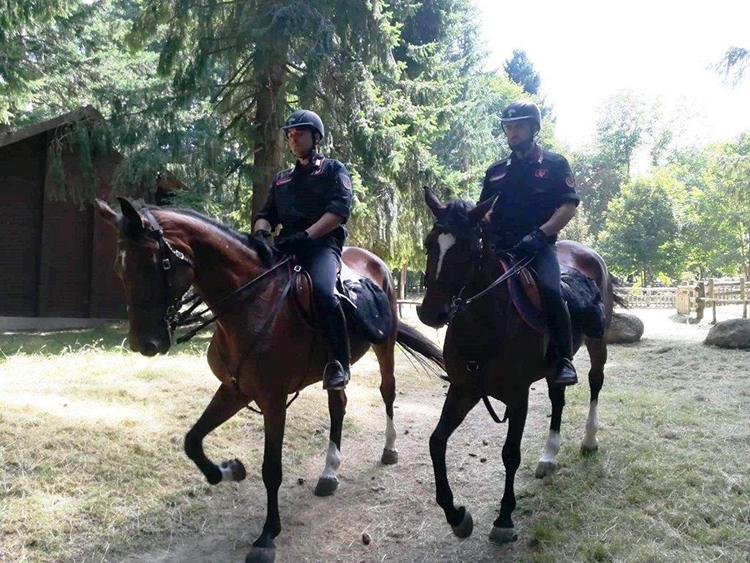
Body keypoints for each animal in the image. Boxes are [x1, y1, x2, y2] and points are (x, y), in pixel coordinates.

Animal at [94, 198, 446, 563]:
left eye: (155, 263)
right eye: (120, 268)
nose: (145, 344)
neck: (252, 303)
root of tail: (377, 264)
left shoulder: (273, 400)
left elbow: (271, 468)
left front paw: (267, 535)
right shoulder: (234, 390)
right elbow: (192, 441)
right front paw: (230, 470)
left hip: (384, 345)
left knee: (387, 392)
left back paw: (389, 449)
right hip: (335, 369)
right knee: (338, 406)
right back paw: (329, 472)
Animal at [418, 191, 624, 548]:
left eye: (468, 247)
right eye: (430, 243)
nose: (431, 312)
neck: (485, 323)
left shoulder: (518, 396)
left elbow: (510, 454)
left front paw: (504, 519)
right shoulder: (464, 388)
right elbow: (437, 441)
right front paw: (456, 516)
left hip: (597, 343)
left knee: (595, 382)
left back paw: (589, 440)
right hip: (556, 364)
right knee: (558, 398)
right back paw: (549, 456)